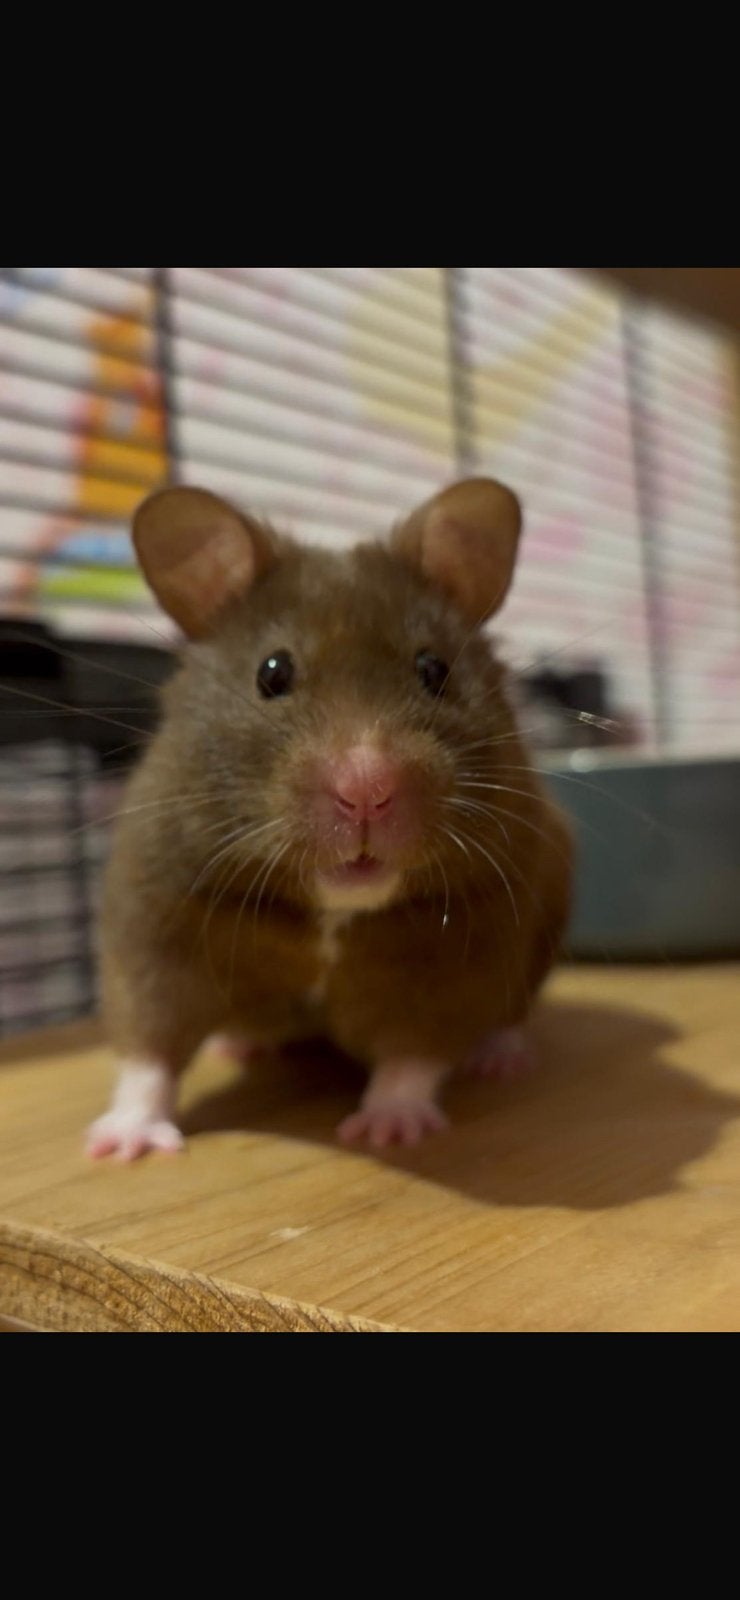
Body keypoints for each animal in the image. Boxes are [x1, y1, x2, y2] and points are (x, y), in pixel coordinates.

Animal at [88, 478, 572, 1158]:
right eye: (273, 673)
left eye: (434, 670)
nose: (366, 790)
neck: (334, 909)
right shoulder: (155, 922)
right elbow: (148, 1047)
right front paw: (122, 1147)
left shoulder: (463, 952)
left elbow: (413, 1054)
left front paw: (387, 1131)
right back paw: (237, 1045)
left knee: (505, 1019)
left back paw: (500, 1060)